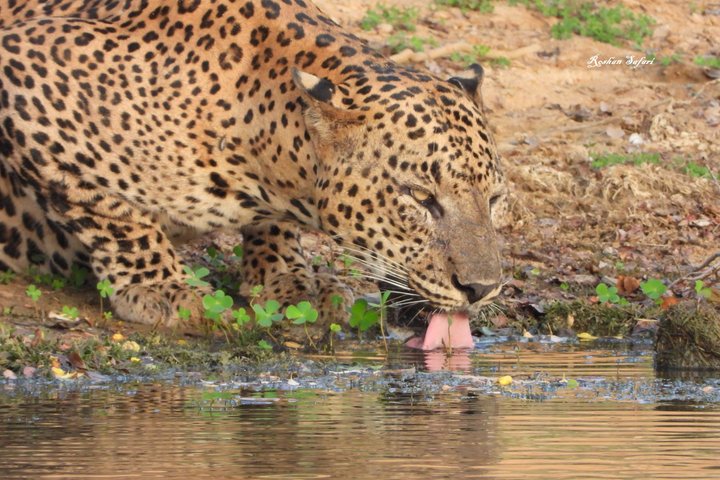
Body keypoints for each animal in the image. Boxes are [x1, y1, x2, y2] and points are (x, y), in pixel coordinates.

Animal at [0, 0, 506, 340]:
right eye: (420, 197)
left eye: (495, 199)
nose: (481, 289)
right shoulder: (26, 73)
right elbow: (117, 213)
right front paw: (162, 288)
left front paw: (289, 278)